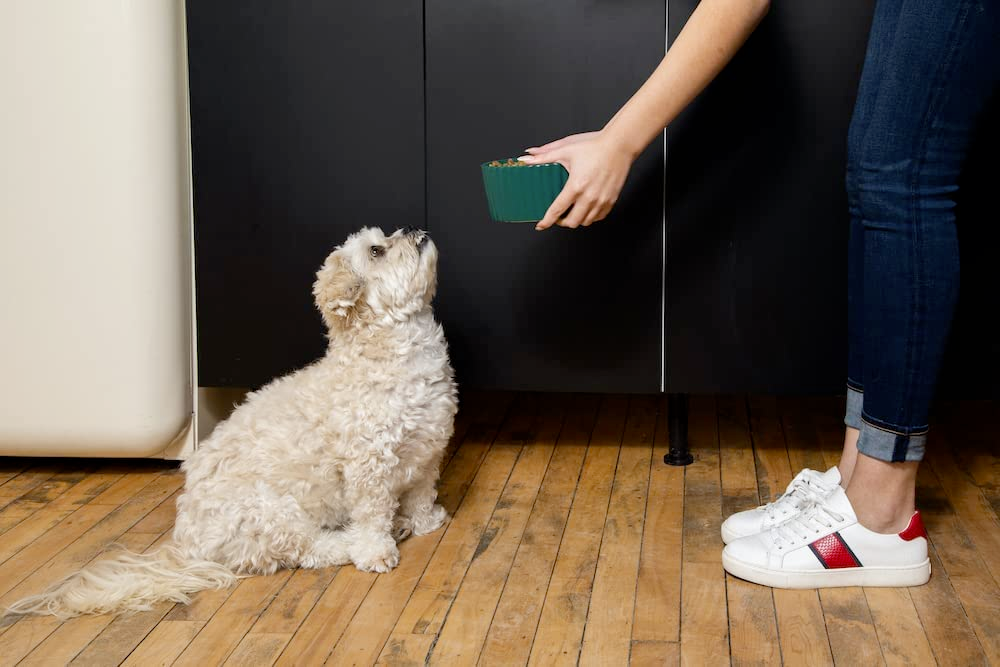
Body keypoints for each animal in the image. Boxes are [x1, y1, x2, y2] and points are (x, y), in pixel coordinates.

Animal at [6, 227, 458, 620]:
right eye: (377, 250)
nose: (415, 231)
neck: (393, 353)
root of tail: (187, 543)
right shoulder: (369, 468)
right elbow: (371, 515)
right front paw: (376, 552)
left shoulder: (427, 452)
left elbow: (421, 494)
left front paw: (426, 522)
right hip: (272, 513)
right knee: (308, 549)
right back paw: (347, 544)